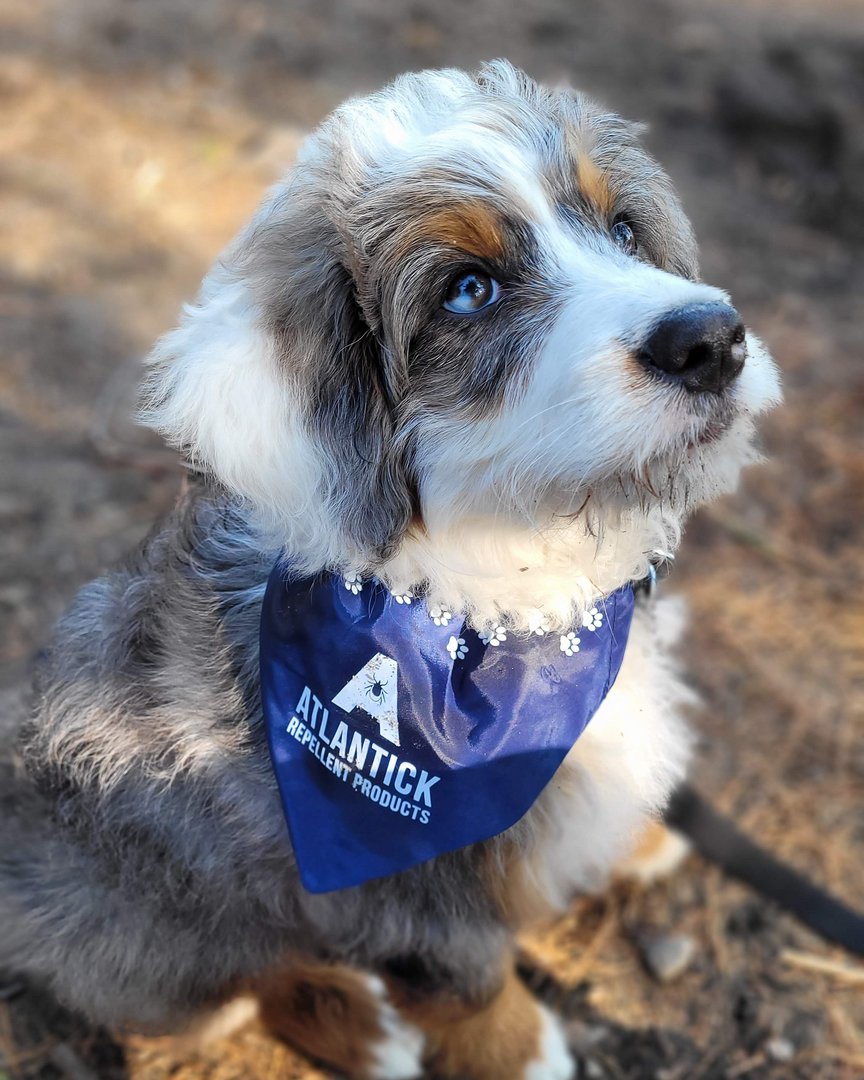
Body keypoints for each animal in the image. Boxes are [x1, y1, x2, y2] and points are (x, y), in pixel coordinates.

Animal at [0, 61, 777, 1080]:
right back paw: (362, 1030)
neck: (495, 597)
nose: (711, 340)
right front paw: (524, 1055)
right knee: (236, 984)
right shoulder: (408, 896)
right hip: (135, 911)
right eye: (467, 291)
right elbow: (468, 984)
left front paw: (635, 834)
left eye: (622, 229)